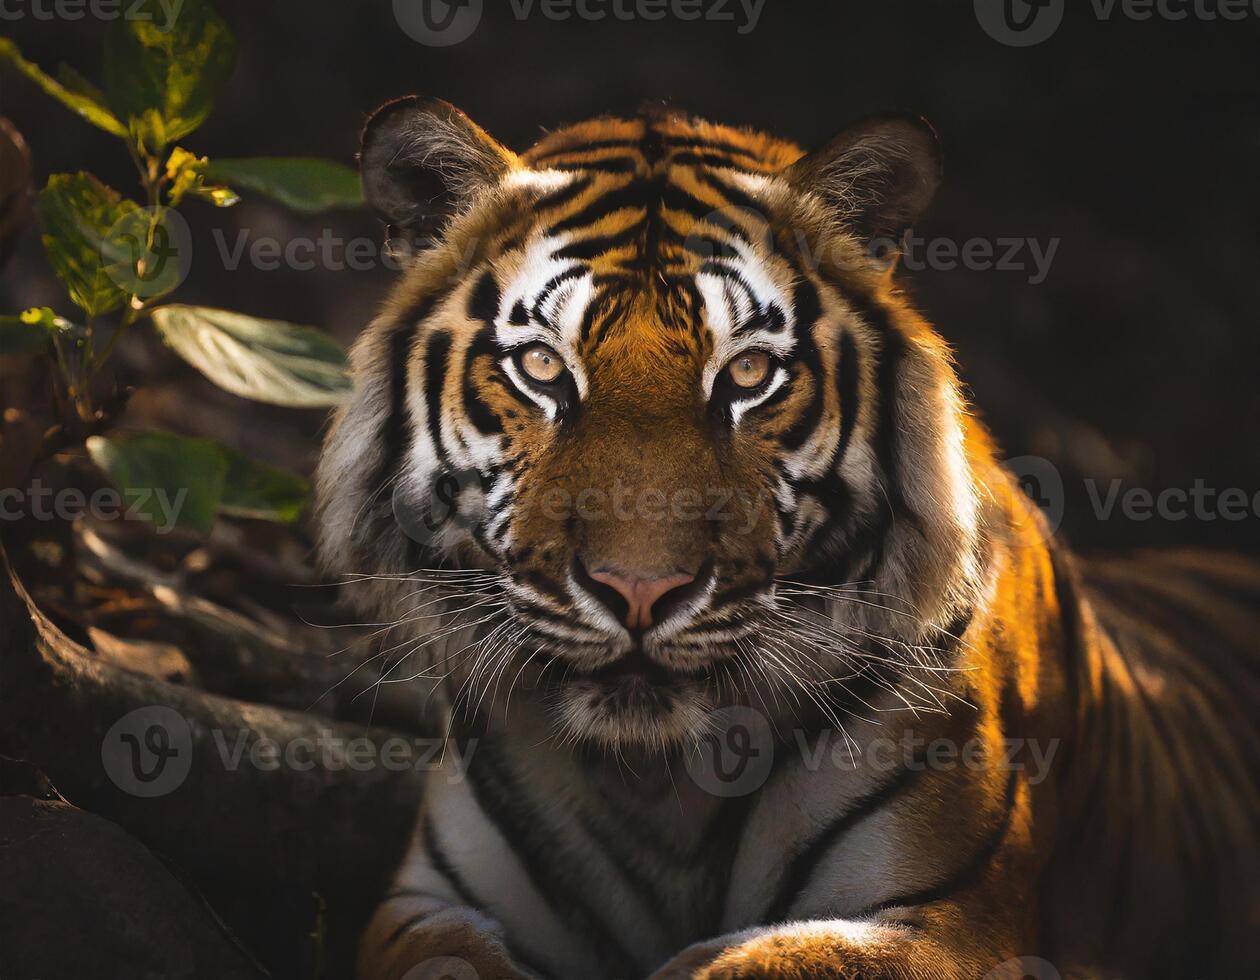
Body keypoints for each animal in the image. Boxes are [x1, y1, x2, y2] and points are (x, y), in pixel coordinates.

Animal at [309, 101, 1254, 977]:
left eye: (749, 374)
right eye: (542, 368)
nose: (639, 592)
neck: (658, 783)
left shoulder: (948, 926)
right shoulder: (431, 901)